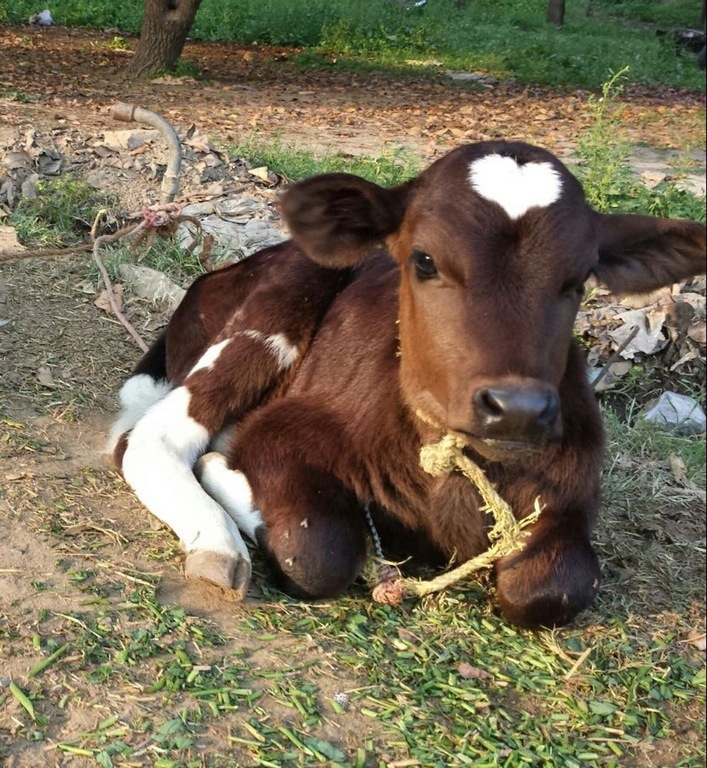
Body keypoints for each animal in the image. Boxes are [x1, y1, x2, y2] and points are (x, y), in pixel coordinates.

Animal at [110, 142, 707, 632]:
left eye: (579, 279)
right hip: (284, 298)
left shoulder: (573, 489)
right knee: (149, 438)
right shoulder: (285, 431)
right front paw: (228, 477)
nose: (517, 409)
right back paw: (216, 537)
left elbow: (550, 587)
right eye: (424, 260)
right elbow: (319, 551)